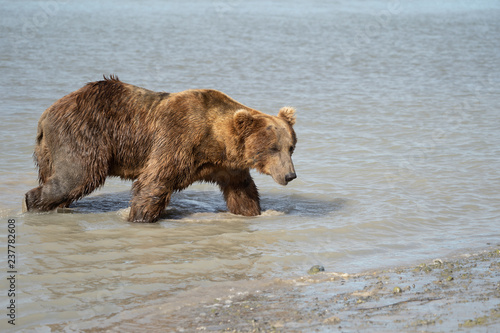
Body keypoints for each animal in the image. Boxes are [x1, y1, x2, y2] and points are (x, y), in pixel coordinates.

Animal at [23, 75, 296, 220]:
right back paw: (34, 203)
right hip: (83, 136)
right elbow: (154, 182)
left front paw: (252, 212)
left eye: (291, 147)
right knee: (77, 176)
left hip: (49, 151)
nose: (290, 175)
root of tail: (46, 114)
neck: (215, 141)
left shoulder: (227, 166)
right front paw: (140, 217)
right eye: (273, 148)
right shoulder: (177, 139)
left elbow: (242, 192)